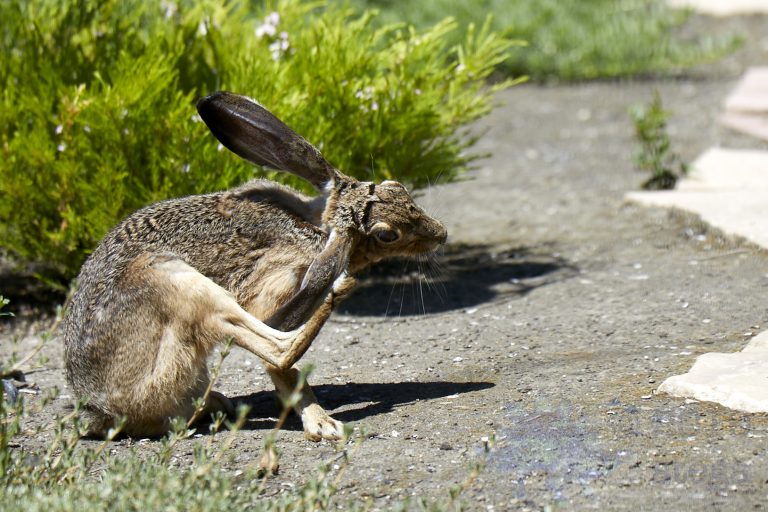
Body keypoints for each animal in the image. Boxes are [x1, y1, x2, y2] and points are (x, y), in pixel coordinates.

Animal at [63, 91, 447, 440]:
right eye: (387, 235)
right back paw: (337, 298)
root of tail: (100, 411)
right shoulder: (279, 282)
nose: (441, 234)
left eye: (396, 186)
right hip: (171, 281)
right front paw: (319, 423)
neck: (318, 227)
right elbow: (278, 359)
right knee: (276, 348)